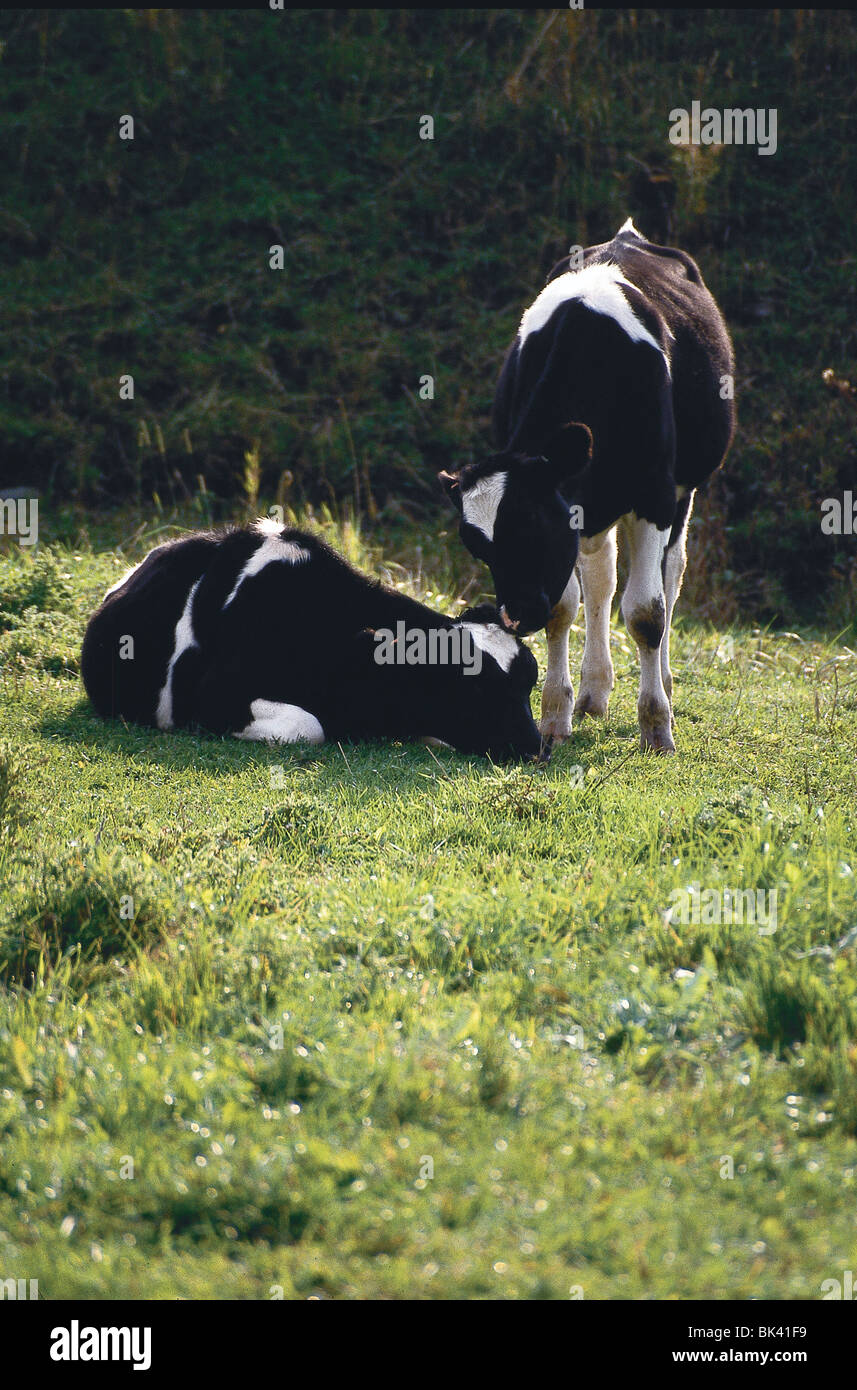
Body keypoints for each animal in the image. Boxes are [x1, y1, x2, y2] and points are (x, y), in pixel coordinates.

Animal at [439, 219, 735, 754]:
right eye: (479, 549)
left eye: (533, 527)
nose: (516, 616)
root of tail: (628, 235)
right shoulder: (574, 517)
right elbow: (565, 608)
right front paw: (555, 717)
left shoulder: (654, 495)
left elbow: (646, 613)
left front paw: (656, 726)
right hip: (598, 514)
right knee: (602, 580)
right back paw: (595, 691)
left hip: (683, 492)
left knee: (670, 577)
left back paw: (663, 684)